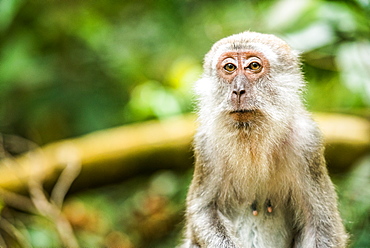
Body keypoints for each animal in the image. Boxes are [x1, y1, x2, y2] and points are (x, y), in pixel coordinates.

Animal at [181, 32, 348, 247]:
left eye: (254, 66)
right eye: (230, 67)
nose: (238, 90)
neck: (252, 142)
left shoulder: (308, 143)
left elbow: (321, 224)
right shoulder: (206, 145)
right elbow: (204, 210)